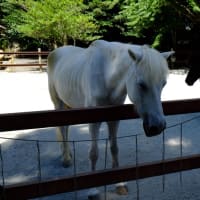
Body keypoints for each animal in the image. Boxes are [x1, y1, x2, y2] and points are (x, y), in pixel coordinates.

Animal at [47, 39, 173, 196]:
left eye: (164, 84)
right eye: (141, 84)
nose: (158, 126)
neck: (106, 75)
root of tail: (55, 52)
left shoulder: (114, 119)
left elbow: (114, 148)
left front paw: (119, 184)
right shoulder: (93, 122)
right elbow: (94, 153)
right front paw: (93, 190)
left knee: (66, 128)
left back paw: (67, 153)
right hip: (58, 103)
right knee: (61, 128)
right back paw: (65, 159)